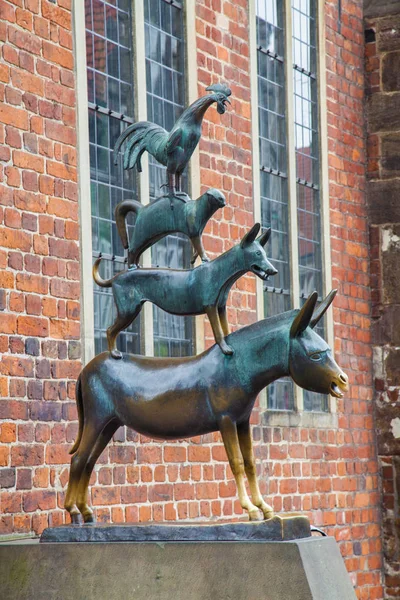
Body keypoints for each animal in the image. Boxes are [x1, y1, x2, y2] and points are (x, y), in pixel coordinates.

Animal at [92, 224, 276, 356]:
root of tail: (115, 278)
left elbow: (225, 329)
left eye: (265, 254)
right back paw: (114, 353)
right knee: (109, 330)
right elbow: (218, 332)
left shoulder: (221, 307)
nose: (273, 270)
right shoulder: (210, 307)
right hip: (128, 310)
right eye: (258, 254)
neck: (220, 272)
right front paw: (225, 348)